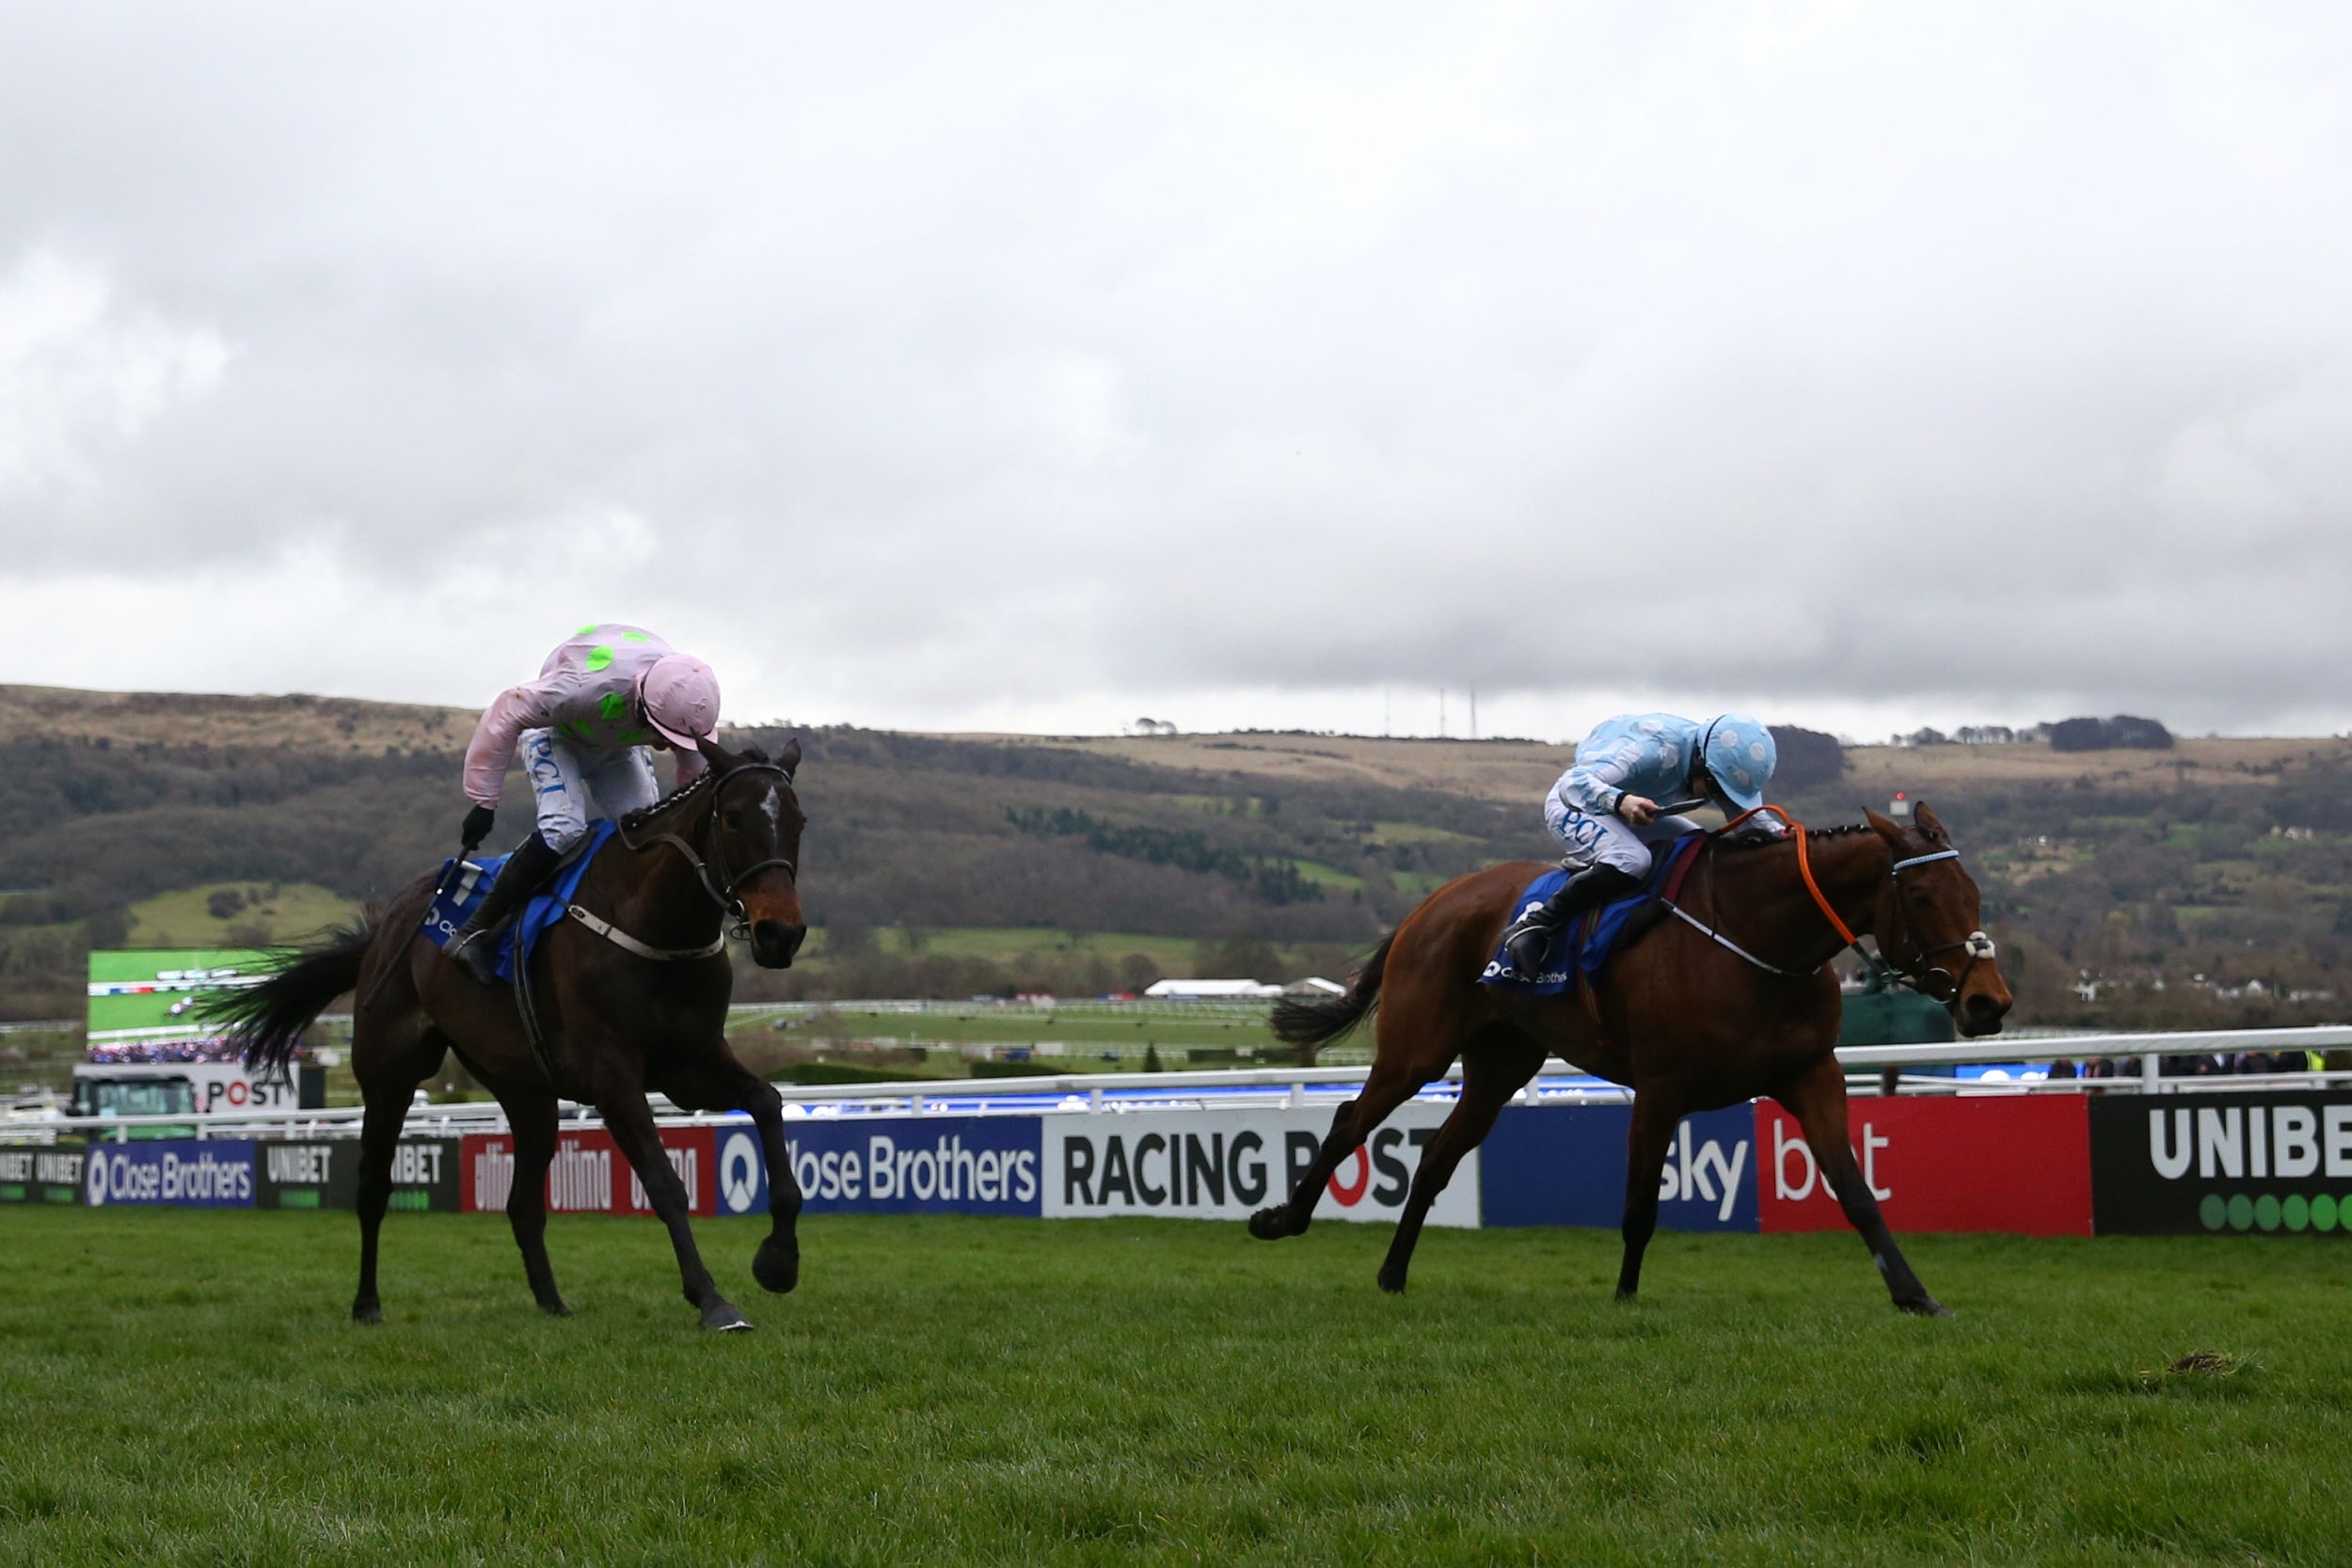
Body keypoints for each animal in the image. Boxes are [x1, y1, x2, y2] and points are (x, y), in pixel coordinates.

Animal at [214, 742, 818, 1335]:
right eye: (733, 816)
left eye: (799, 820)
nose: (780, 933)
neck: (652, 923)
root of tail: (385, 931)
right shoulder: (613, 1076)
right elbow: (664, 1182)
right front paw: (712, 1299)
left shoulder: (690, 1063)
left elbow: (768, 1102)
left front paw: (779, 1261)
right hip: (389, 1076)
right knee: (373, 1188)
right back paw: (366, 1304)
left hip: (526, 1093)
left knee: (521, 1203)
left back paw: (552, 1302)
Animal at [1261, 808, 2013, 1316]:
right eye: (1922, 897)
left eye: (1975, 894)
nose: (1989, 1003)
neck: (1758, 937)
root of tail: (1433, 901)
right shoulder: (1660, 1085)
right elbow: (1640, 1205)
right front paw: (1625, 1295)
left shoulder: (1812, 1073)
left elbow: (1856, 1191)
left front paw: (1917, 1296)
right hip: (1415, 1049)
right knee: (1350, 1120)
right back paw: (1282, 1219)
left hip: (1500, 1067)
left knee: (1437, 1157)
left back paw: (1392, 1273)